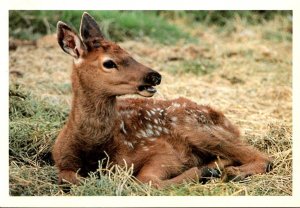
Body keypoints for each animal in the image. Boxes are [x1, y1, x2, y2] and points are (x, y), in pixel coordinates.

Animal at [52, 12, 274, 188]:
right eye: (109, 63)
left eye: (127, 52)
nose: (154, 76)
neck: (95, 150)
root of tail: (225, 120)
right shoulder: (61, 160)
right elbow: (68, 178)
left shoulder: (162, 150)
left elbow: (146, 180)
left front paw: (204, 171)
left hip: (195, 127)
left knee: (263, 157)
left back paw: (229, 172)